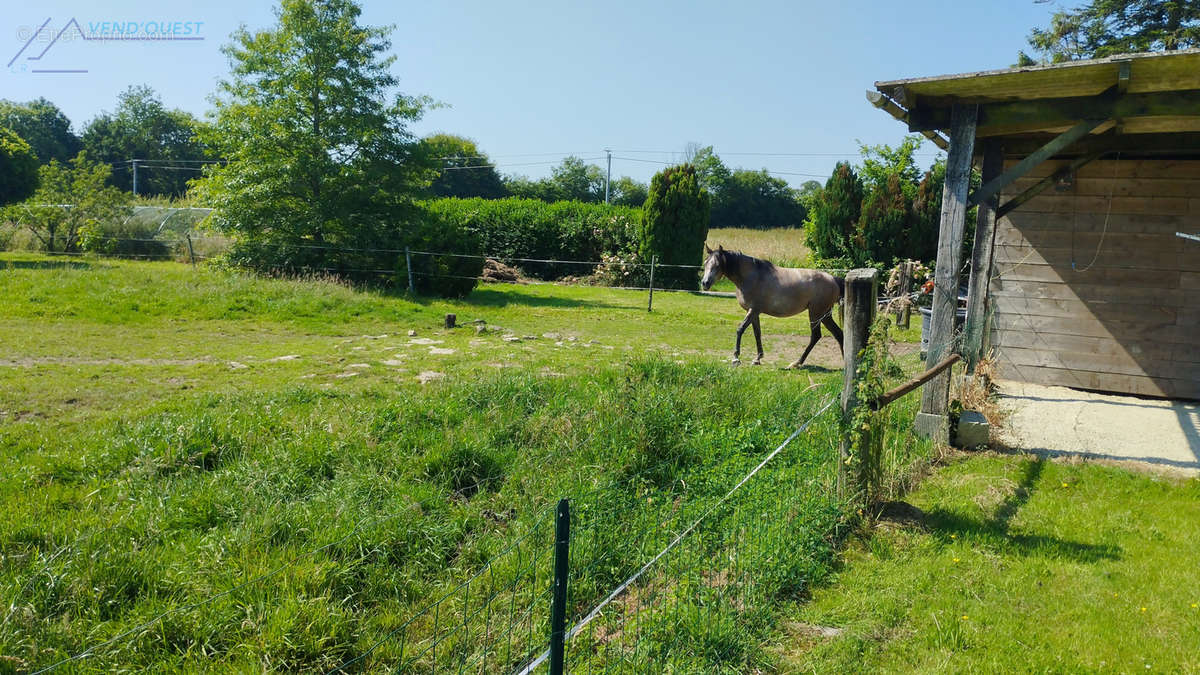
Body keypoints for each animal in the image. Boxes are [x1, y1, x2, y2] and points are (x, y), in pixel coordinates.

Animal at [700, 242, 849, 365]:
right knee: (838, 334)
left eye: (717, 265)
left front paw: (736, 357)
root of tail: (833, 279)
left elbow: (740, 329)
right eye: (706, 263)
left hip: (815, 314)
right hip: (825, 315)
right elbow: (757, 333)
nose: (705, 283)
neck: (751, 276)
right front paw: (757, 358)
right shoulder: (754, 312)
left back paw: (797, 363)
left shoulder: (753, 310)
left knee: (816, 336)